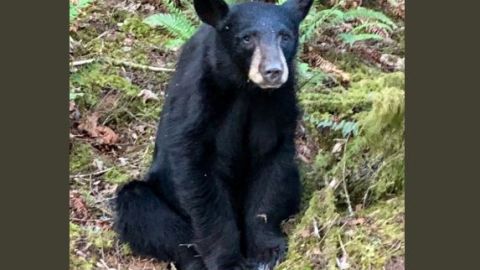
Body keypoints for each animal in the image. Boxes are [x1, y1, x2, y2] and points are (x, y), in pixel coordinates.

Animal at [114, 0, 314, 270]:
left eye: (285, 36)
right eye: (247, 38)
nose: (273, 71)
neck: (245, 88)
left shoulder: (278, 103)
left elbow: (272, 163)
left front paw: (266, 250)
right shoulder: (199, 99)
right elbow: (198, 176)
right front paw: (229, 260)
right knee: (141, 208)